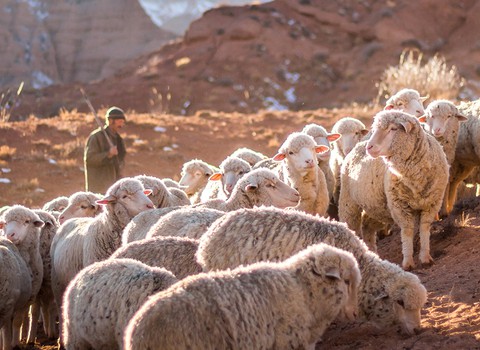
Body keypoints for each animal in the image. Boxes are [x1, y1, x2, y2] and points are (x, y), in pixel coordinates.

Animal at [0, 205, 44, 348]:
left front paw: (15, 343)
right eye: (5, 223)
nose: (10, 235)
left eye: (26, 222)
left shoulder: (28, 298)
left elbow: (17, 321)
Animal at [340, 110, 448, 270]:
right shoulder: (399, 206)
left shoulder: (431, 203)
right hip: (349, 203)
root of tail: (358, 144)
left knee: (367, 226)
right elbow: (407, 231)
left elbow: (424, 229)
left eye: (392, 129)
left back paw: (373, 253)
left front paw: (425, 258)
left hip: (377, 207)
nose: (369, 147)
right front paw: (408, 262)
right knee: (352, 226)